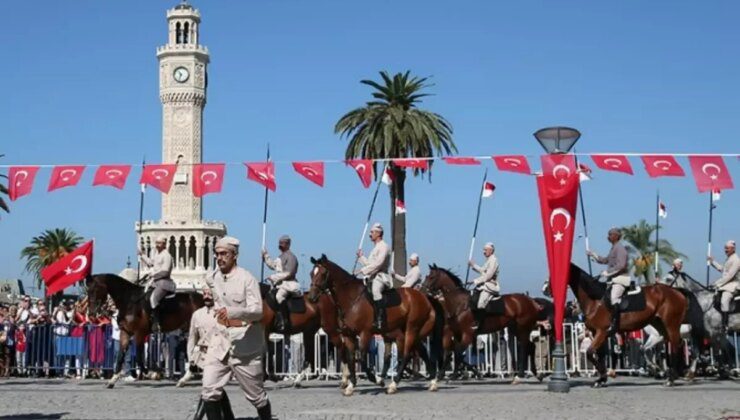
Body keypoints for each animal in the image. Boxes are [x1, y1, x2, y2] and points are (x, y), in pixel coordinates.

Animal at [304, 254, 442, 396]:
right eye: (311, 273)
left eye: (323, 273)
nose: (311, 297)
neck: (351, 299)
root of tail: (423, 297)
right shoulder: (348, 335)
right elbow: (351, 358)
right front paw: (351, 385)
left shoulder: (365, 333)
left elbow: (363, 360)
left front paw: (377, 380)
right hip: (414, 333)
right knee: (422, 352)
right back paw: (432, 382)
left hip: (411, 330)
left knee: (406, 355)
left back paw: (393, 384)